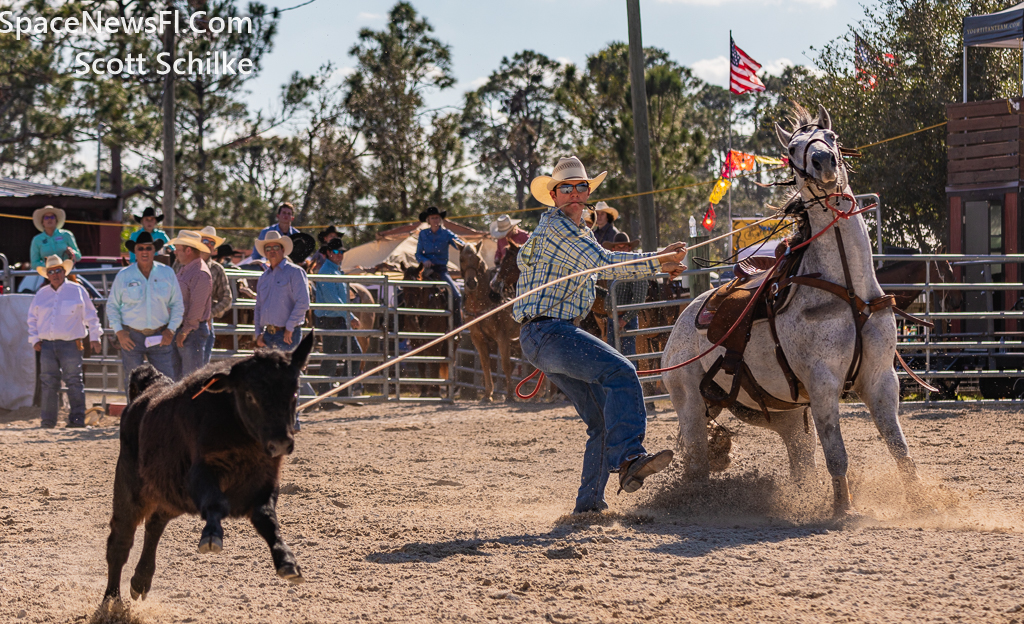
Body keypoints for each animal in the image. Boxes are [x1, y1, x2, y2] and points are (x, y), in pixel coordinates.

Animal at [460, 240, 520, 401]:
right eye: (462, 260)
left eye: (478, 259)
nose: (471, 283)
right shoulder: (477, 338)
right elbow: (485, 364)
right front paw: (488, 394)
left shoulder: (502, 337)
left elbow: (506, 365)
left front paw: (510, 395)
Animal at [663, 104, 921, 518]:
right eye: (793, 149)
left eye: (831, 137)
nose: (823, 161)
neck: (847, 288)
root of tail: (682, 320)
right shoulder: (822, 384)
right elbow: (837, 454)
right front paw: (843, 510)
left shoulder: (881, 379)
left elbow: (899, 449)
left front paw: (924, 502)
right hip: (689, 403)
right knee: (696, 465)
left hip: (784, 414)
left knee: (800, 460)